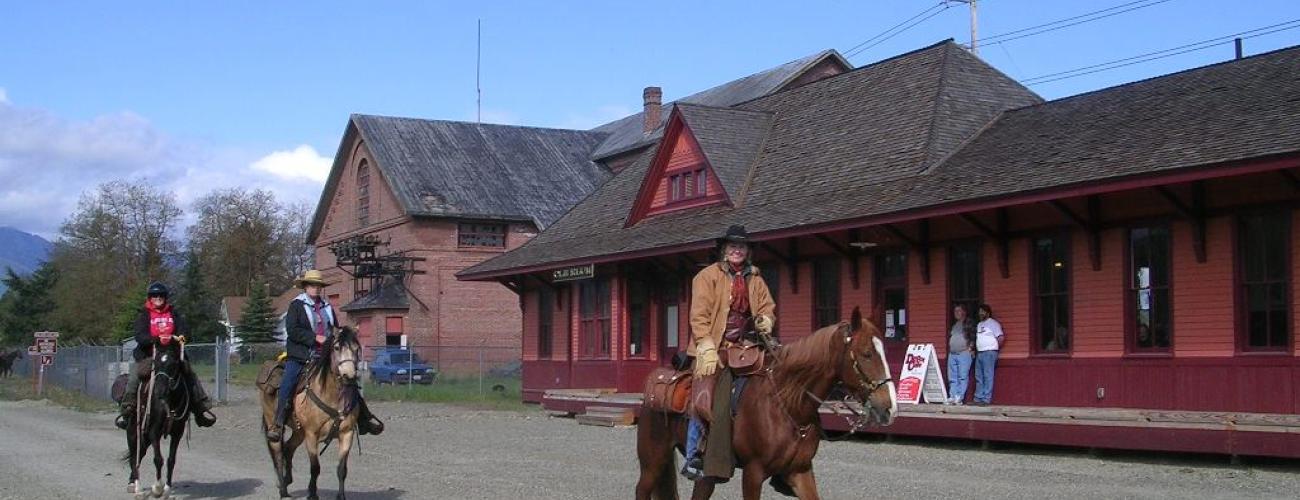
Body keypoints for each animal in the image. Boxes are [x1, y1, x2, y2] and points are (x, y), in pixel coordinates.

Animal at [258, 324, 364, 496]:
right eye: (336, 347)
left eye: (356, 348)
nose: (349, 375)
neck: (332, 395)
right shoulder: (311, 434)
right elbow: (315, 468)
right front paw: (312, 494)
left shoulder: (346, 433)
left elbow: (342, 469)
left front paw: (341, 496)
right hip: (273, 423)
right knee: (278, 453)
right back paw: (283, 489)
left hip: (299, 431)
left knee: (288, 448)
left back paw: (287, 481)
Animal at [634, 303, 899, 498]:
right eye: (866, 354)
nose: (890, 408)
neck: (787, 404)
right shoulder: (753, 472)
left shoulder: (800, 471)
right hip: (653, 462)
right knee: (641, 490)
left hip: (704, 474)